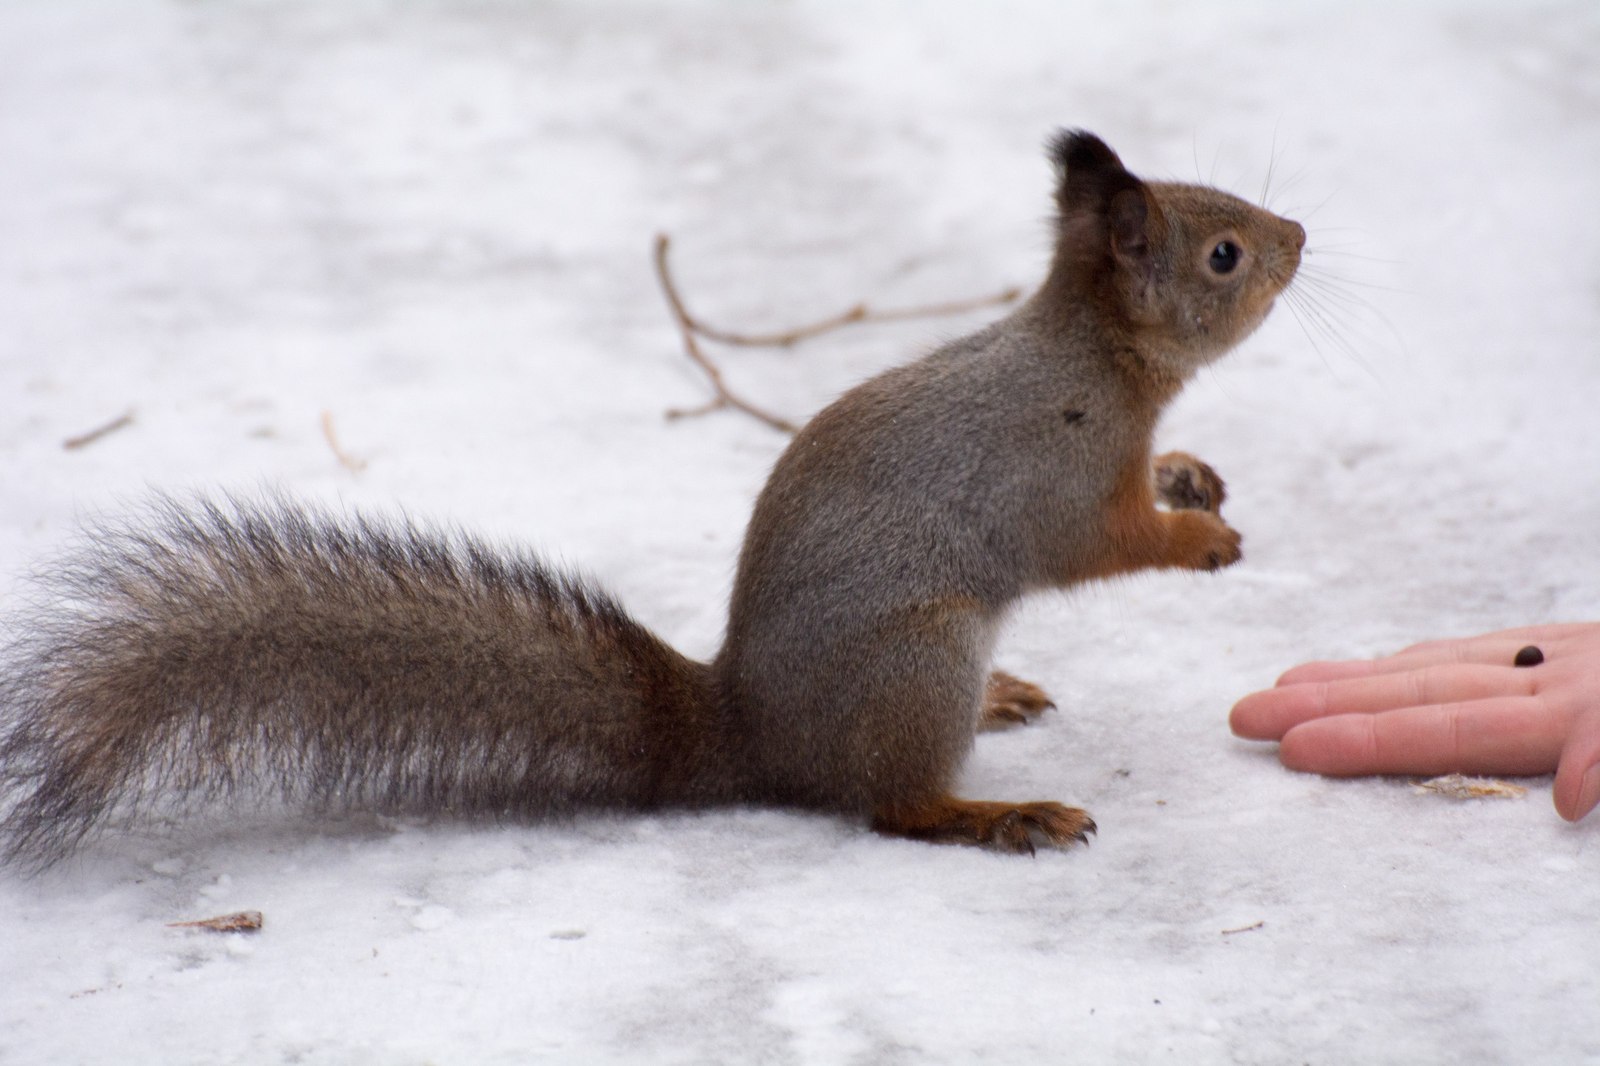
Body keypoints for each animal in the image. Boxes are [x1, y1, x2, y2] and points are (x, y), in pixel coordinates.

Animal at [0, 132, 1299, 864]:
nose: (1295, 232)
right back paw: (994, 813)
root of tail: (745, 730)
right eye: (1223, 254)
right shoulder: (1059, 472)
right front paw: (1197, 536)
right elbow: (1102, 539)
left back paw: (1003, 705)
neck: (1094, 358)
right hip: (917, 657)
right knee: (885, 805)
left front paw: (1191, 473)